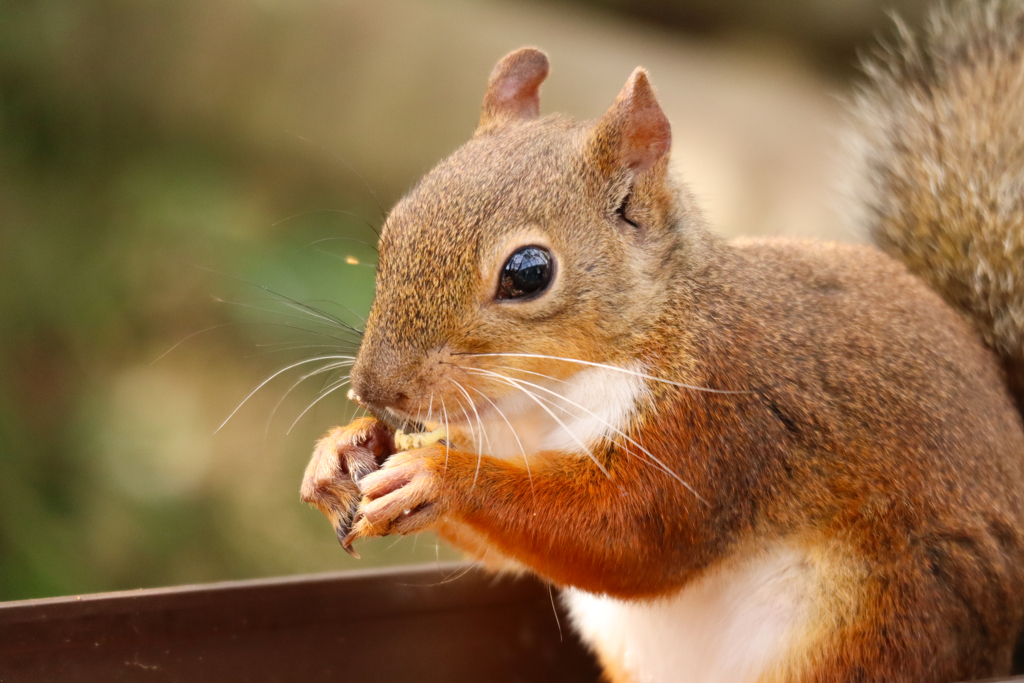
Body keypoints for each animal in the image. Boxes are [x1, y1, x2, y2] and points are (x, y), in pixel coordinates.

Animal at [299, 2, 1024, 679]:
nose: (374, 389)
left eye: (528, 272)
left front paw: (436, 476)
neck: (541, 402)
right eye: (393, 230)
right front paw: (339, 452)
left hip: (880, 623)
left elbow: (632, 536)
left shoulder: (721, 421)